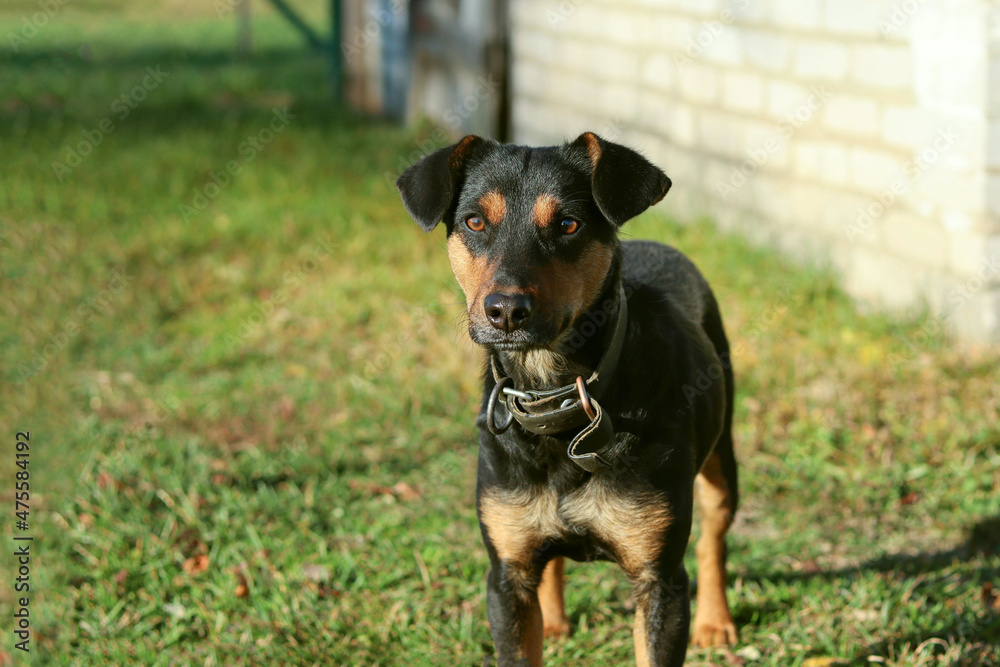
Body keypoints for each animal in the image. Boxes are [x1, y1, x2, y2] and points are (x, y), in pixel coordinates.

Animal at [394, 133, 740, 664]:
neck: (555, 399)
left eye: (568, 224)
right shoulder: (506, 578)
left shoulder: (659, 581)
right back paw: (554, 619)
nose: (505, 311)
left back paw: (715, 622)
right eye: (474, 221)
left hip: (722, 460)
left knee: (713, 540)